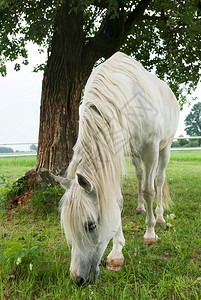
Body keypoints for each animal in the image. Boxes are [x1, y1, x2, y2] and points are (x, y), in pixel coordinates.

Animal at [54, 51, 179, 284]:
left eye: (90, 225)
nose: (77, 279)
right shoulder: (115, 151)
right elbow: (117, 200)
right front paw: (116, 253)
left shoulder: (150, 149)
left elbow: (149, 191)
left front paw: (149, 235)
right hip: (136, 156)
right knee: (140, 176)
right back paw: (140, 208)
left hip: (164, 149)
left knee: (157, 181)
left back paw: (159, 219)